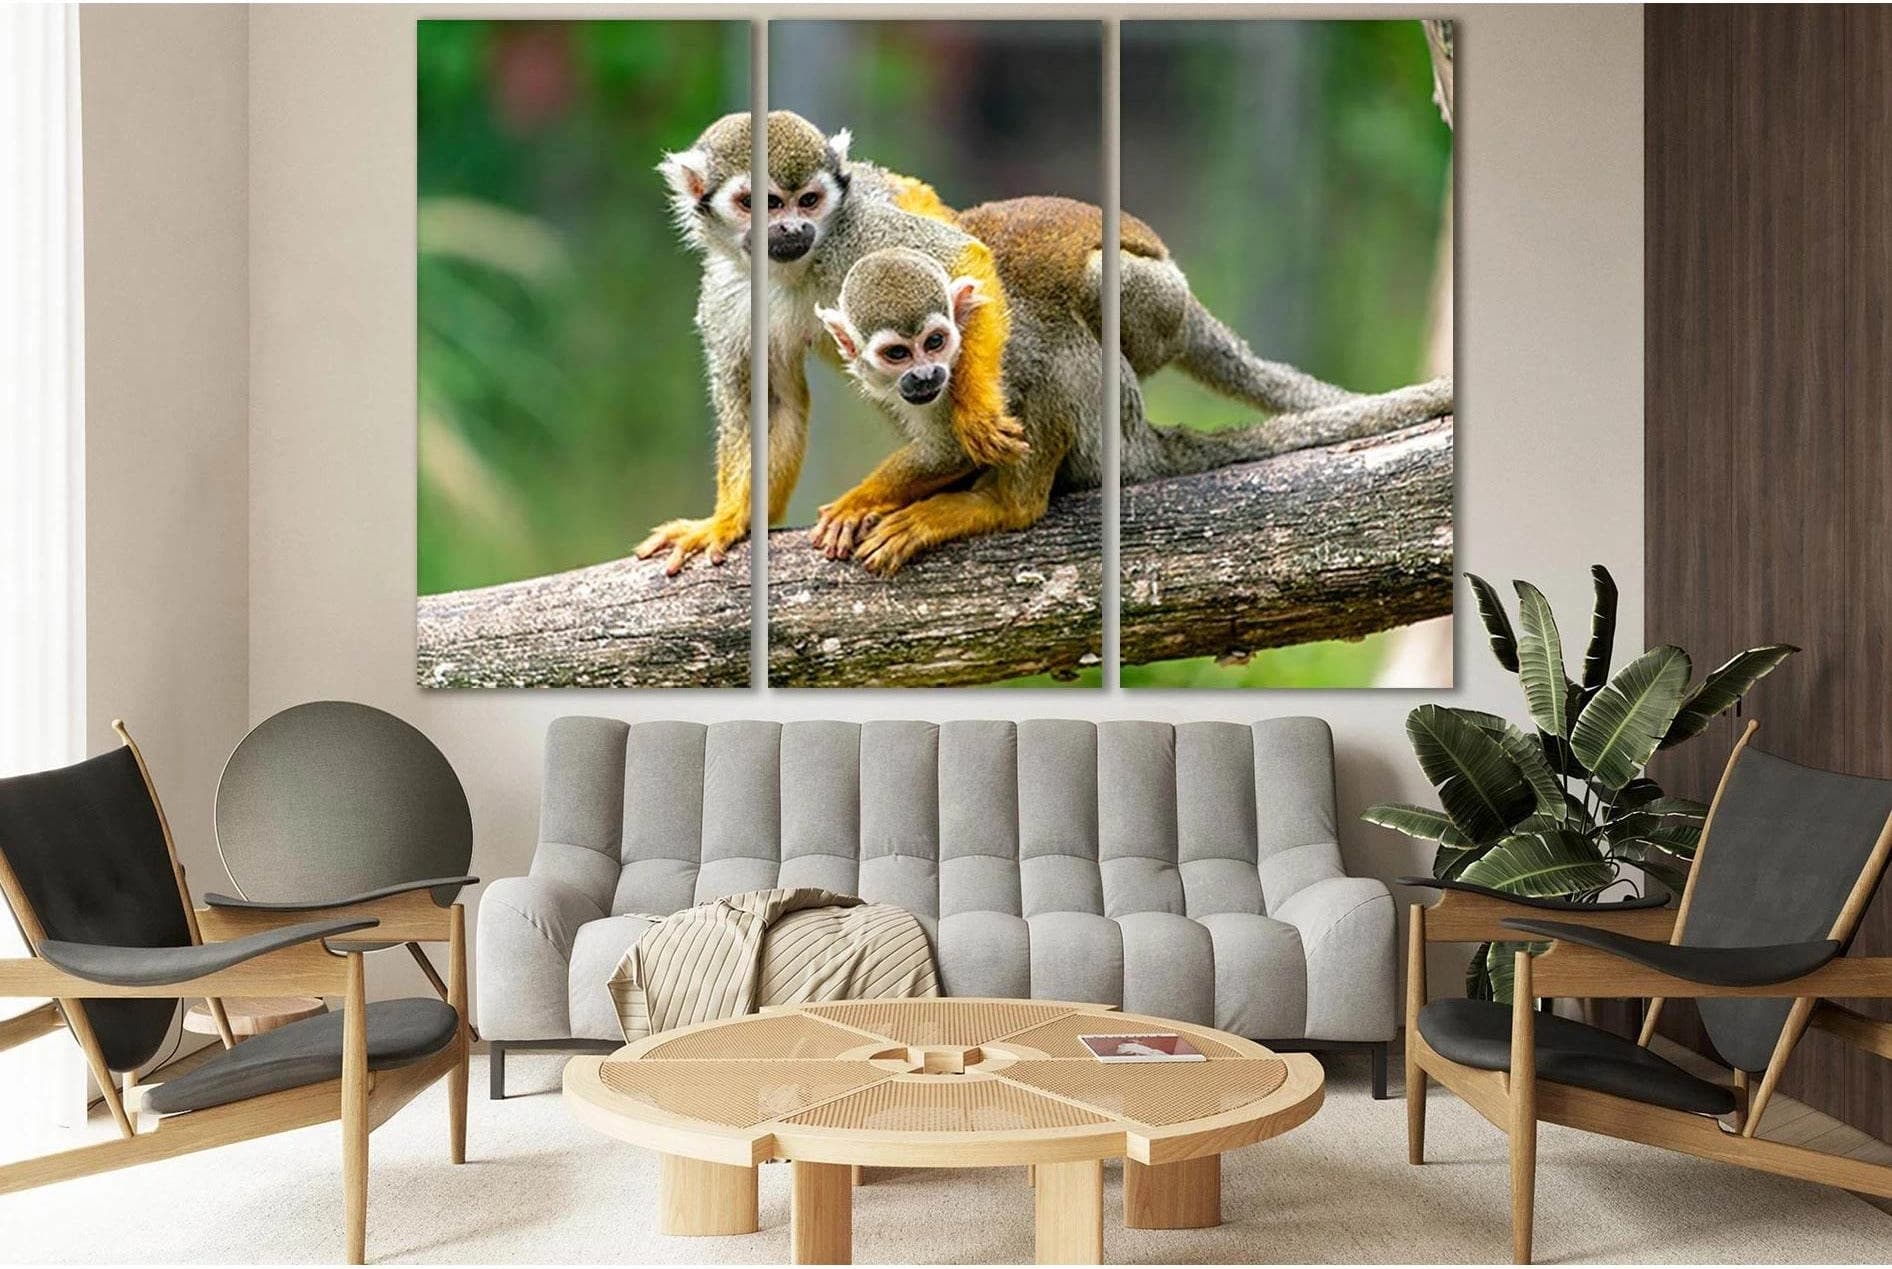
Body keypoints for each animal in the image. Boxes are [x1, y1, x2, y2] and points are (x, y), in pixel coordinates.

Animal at [634, 110, 1026, 575]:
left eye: (808, 200)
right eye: (761, 203)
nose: (791, 228)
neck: (795, 270)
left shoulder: (854, 229)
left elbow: (962, 255)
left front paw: (978, 415)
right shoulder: (729, 292)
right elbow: (770, 405)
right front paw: (726, 520)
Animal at [813, 196, 1453, 574]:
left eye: (936, 342)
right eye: (897, 354)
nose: (926, 375)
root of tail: (1144, 440)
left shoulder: (985, 352)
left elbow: (968, 432)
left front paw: (860, 500)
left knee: (1068, 353)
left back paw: (1003, 504)